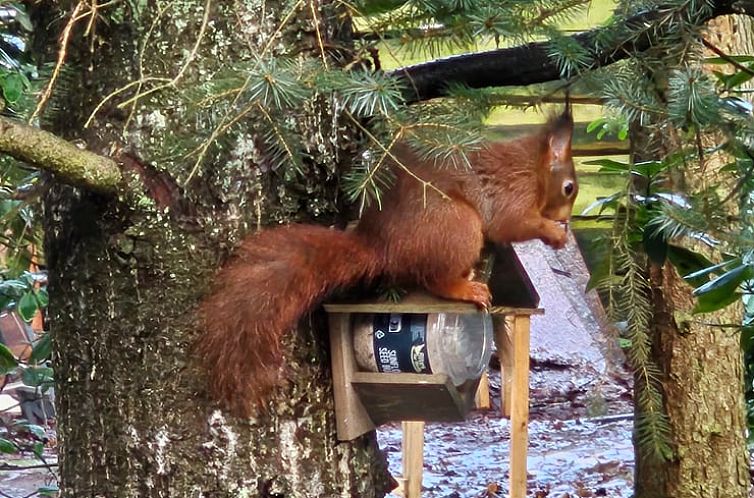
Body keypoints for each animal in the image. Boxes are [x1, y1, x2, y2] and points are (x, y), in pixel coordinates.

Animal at [198, 111, 576, 414]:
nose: (567, 220)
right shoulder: (512, 195)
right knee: (435, 279)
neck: (532, 169)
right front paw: (553, 233)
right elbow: (511, 224)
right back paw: (466, 288)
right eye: (570, 188)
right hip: (458, 226)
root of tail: (382, 246)